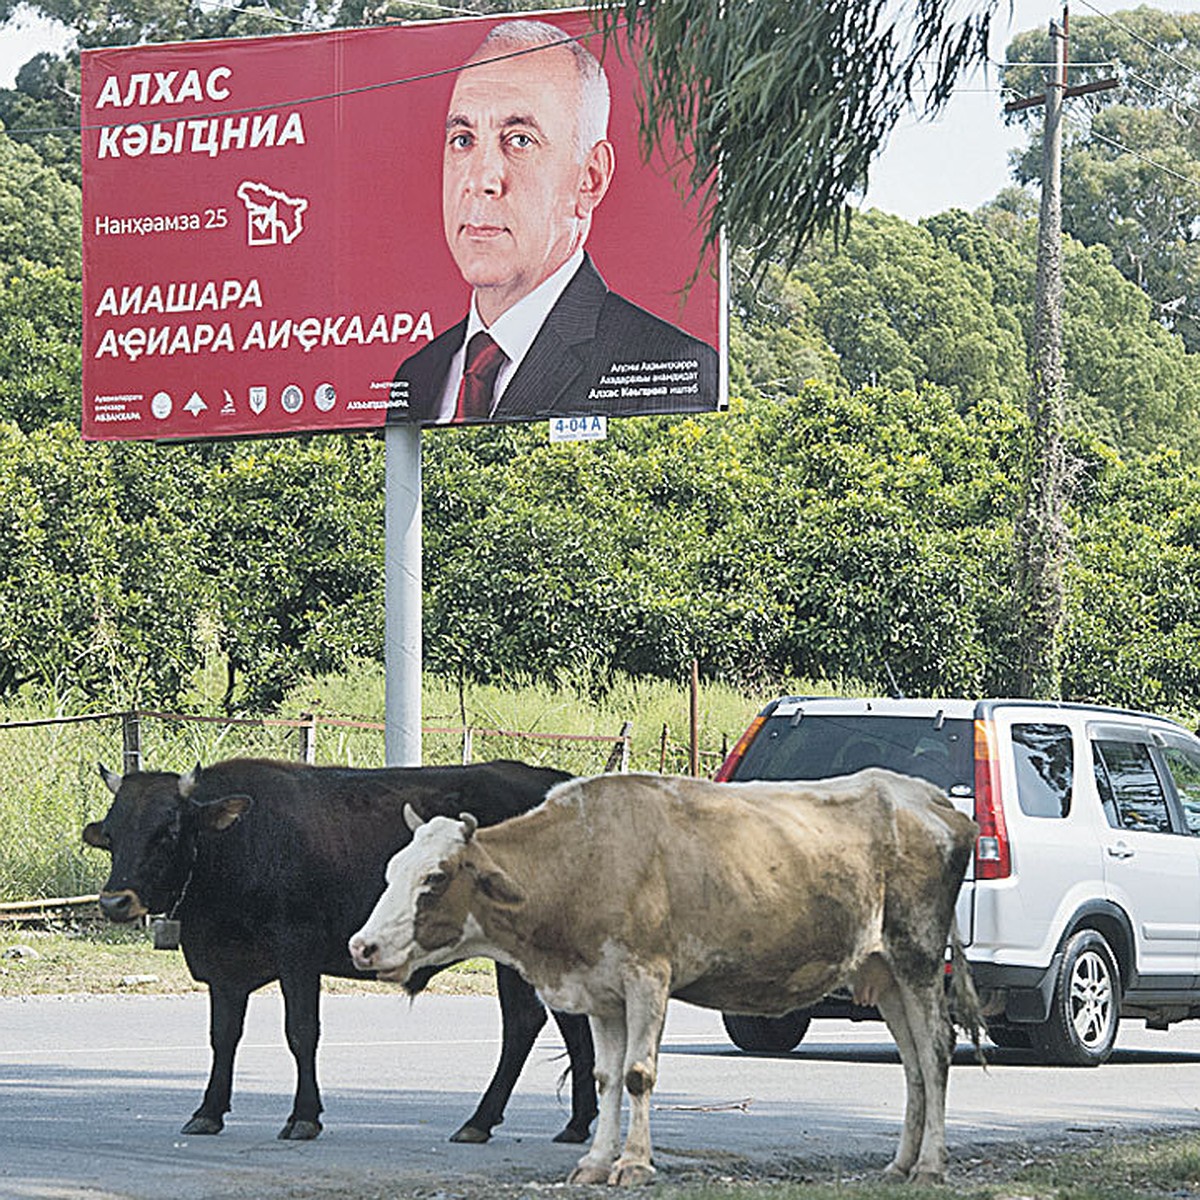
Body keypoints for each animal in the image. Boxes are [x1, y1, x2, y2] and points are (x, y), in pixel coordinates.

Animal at [79, 758, 595, 1142]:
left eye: (167, 832)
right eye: (111, 835)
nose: (114, 902)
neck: (238, 844)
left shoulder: (297, 952)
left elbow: (301, 1032)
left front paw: (303, 1116)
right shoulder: (224, 967)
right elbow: (223, 1036)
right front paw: (208, 1111)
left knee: (525, 1023)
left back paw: (486, 1121)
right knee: (558, 1023)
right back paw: (571, 1123)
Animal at [345, 772, 974, 1185]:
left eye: (435, 878)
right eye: (392, 870)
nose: (362, 946)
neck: (585, 857)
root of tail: (929, 798)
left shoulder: (648, 975)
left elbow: (638, 1075)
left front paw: (633, 1162)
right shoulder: (600, 990)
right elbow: (604, 1077)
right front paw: (596, 1162)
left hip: (918, 956)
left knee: (935, 1052)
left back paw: (931, 1164)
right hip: (884, 974)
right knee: (913, 1065)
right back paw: (901, 1162)